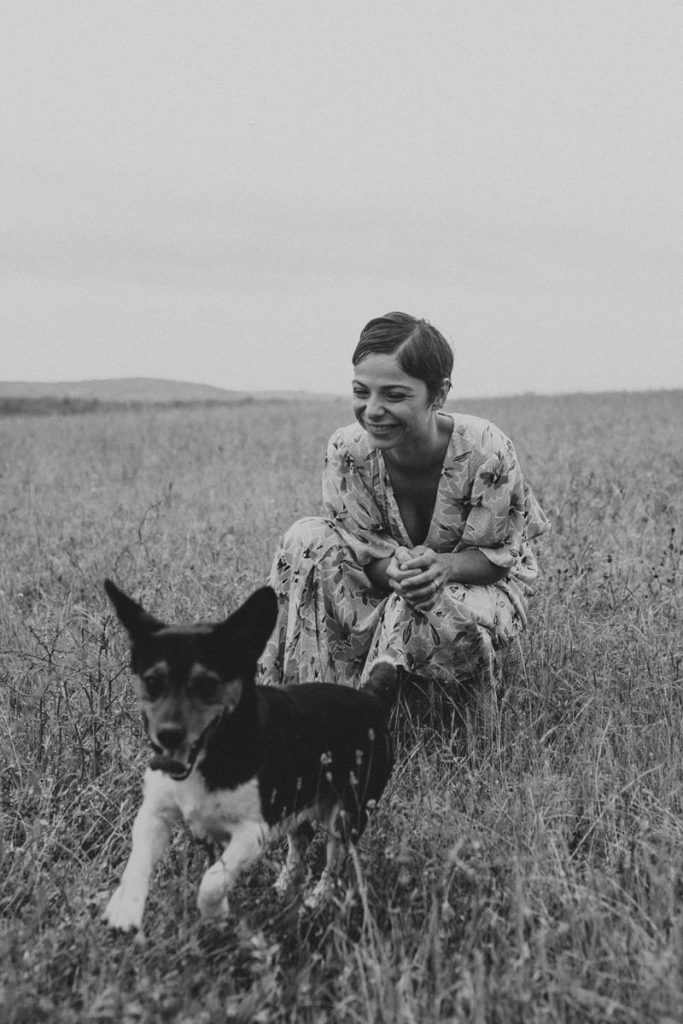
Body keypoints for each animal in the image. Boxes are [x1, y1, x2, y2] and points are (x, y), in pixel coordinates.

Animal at [102, 581, 401, 933]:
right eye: (152, 681)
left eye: (207, 684)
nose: (168, 736)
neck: (210, 758)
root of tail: (371, 699)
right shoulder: (154, 813)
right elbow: (137, 863)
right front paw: (125, 907)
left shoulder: (252, 832)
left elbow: (213, 880)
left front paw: (215, 914)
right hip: (298, 799)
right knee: (301, 840)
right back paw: (285, 883)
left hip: (348, 814)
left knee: (335, 862)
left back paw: (316, 900)